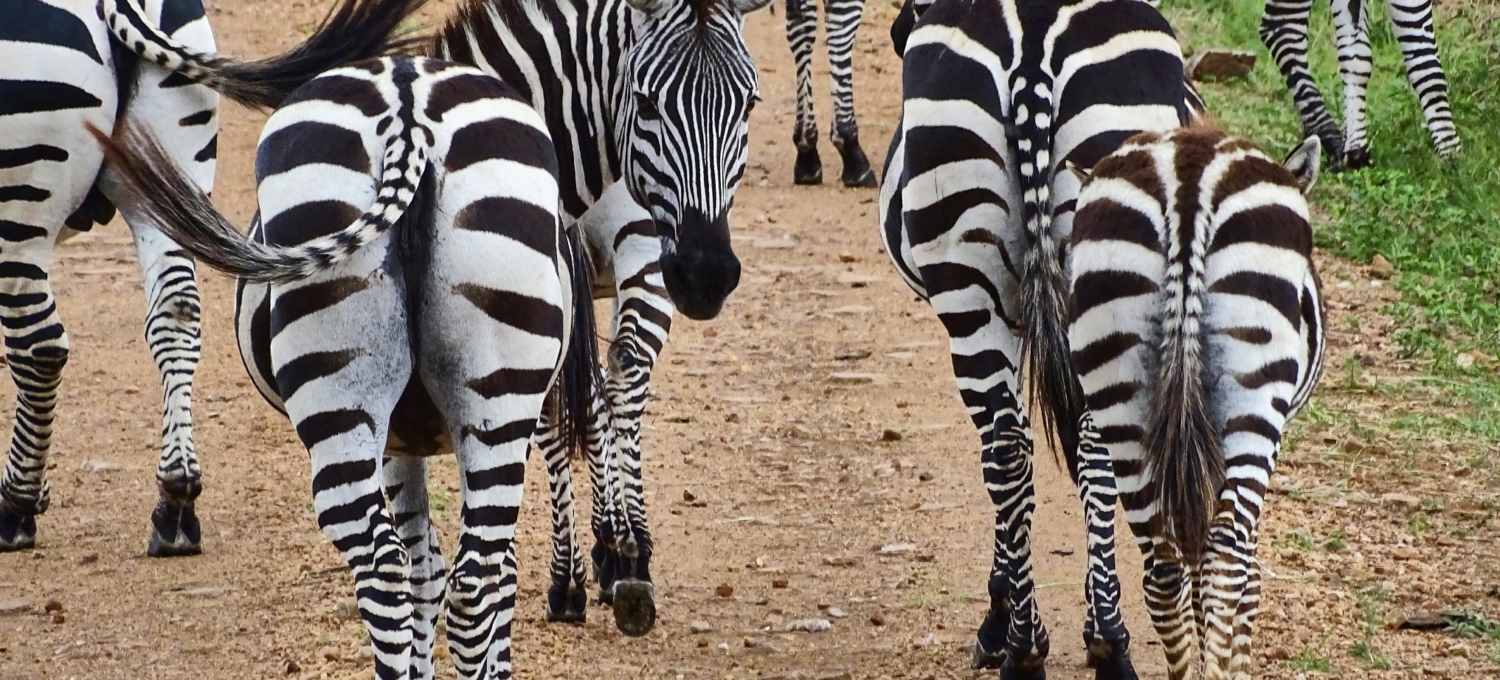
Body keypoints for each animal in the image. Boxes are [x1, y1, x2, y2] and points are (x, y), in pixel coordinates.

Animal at [0, 0, 423, 555]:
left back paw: (17, 507)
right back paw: (175, 503)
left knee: (40, 345)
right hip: (169, 173)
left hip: (23, 194)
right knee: (177, 311)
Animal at [92, 51, 597, 678]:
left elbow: (428, 564)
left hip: (364, 391)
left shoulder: (406, 436)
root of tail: (408, 112)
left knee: (407, 571)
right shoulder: (415, 437)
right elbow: (445, 566)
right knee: (452, 577)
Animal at [429, 0, 768, 633]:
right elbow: (594, 402)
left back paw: (598, 564)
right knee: (610, 383)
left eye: (749, 104)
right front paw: (606, 553)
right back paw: (615, 557)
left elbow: (603, 393)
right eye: (647, 101)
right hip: (625, 259)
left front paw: (612, 551)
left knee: (604, 385)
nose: (707, 274)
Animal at [876, 0, 1194, 672]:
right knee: (1064, 448)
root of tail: (1033, 44)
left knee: (1008, 447)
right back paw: (1089, 642)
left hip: (974, 288)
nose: (895, 31)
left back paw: (1033, 643)